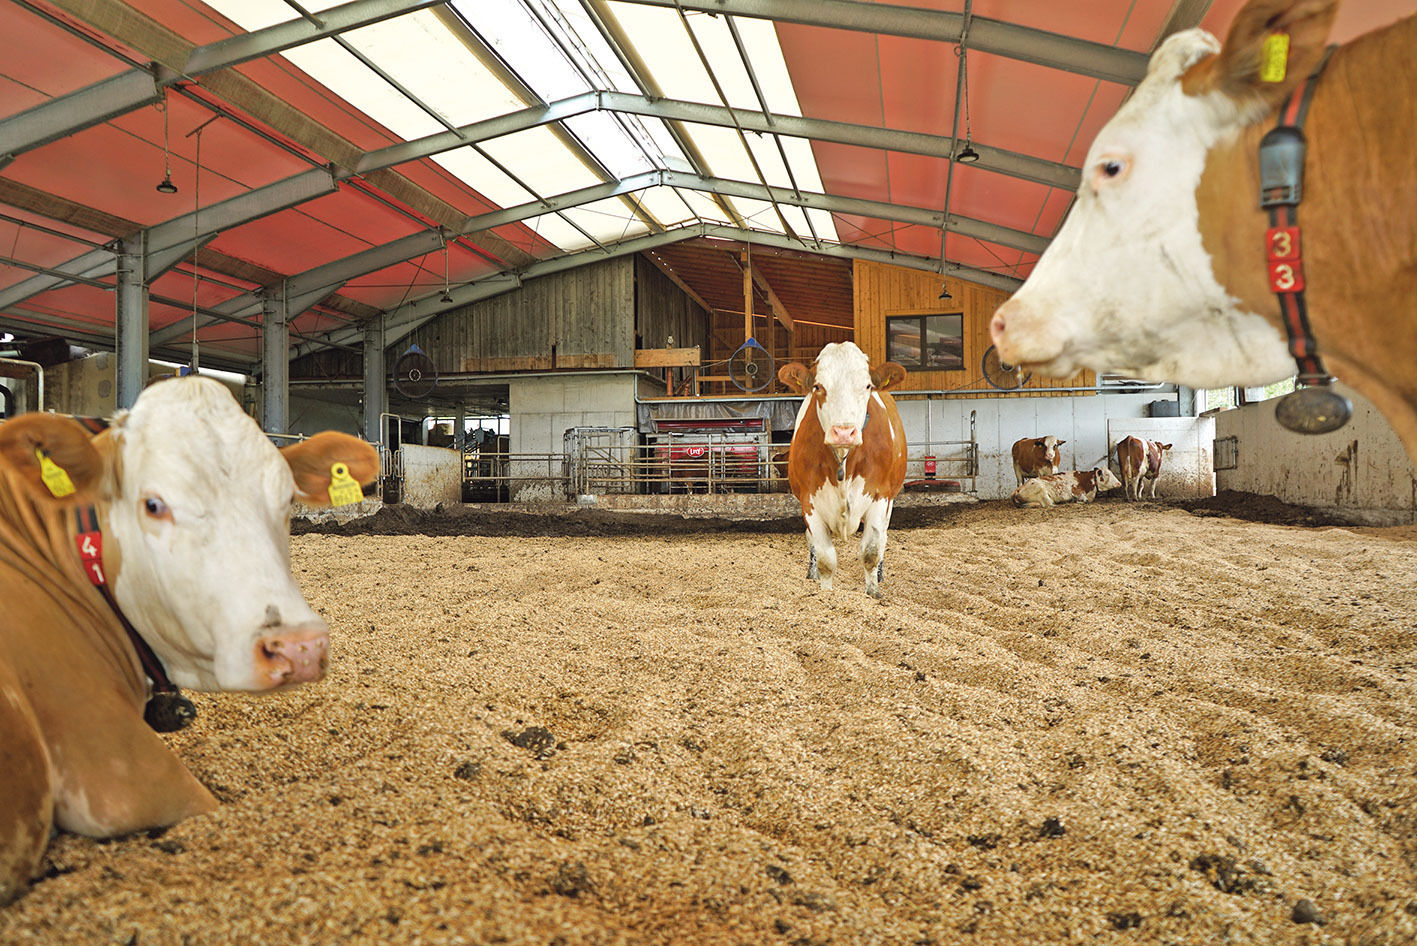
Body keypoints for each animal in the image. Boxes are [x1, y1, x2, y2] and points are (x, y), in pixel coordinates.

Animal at [776, 344, 906, 597]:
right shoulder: (810, 502)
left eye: (867, 386)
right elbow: (826, 558)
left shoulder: (880, 496)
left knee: (884, 537)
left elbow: (871, 551)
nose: (844, 432)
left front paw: (873, 593)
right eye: (818, 386)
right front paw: (826, 593)